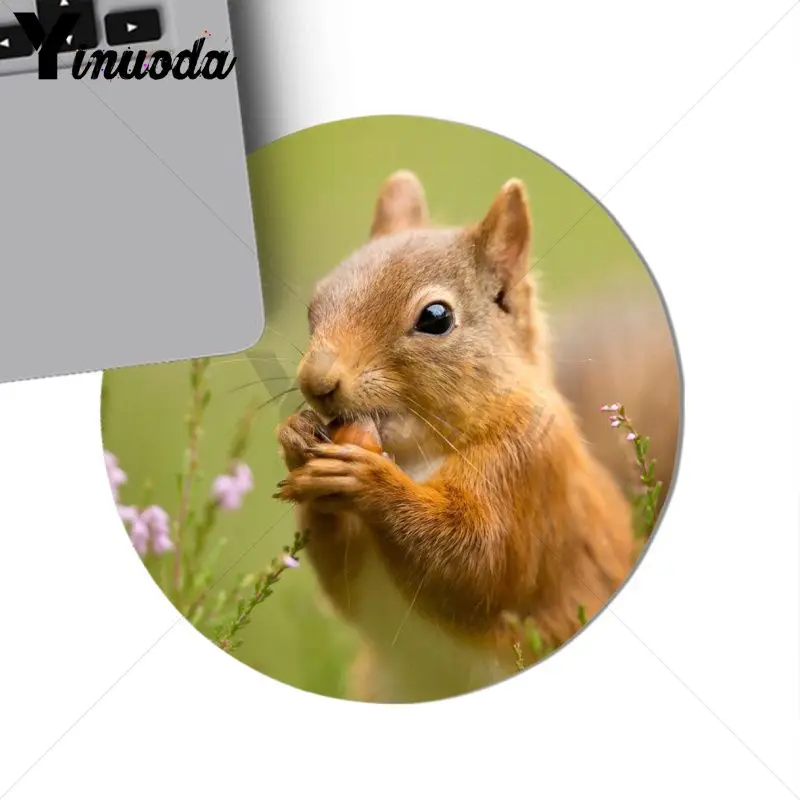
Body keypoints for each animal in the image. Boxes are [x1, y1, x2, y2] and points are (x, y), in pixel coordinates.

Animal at [274, 170, 674, 704]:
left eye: (436, 317)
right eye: (315, 305)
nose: (316, 382)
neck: (415, 455)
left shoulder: (528, 471)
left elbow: (478, 563)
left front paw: (367, 480)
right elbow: (345, 583)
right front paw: (296, 438)